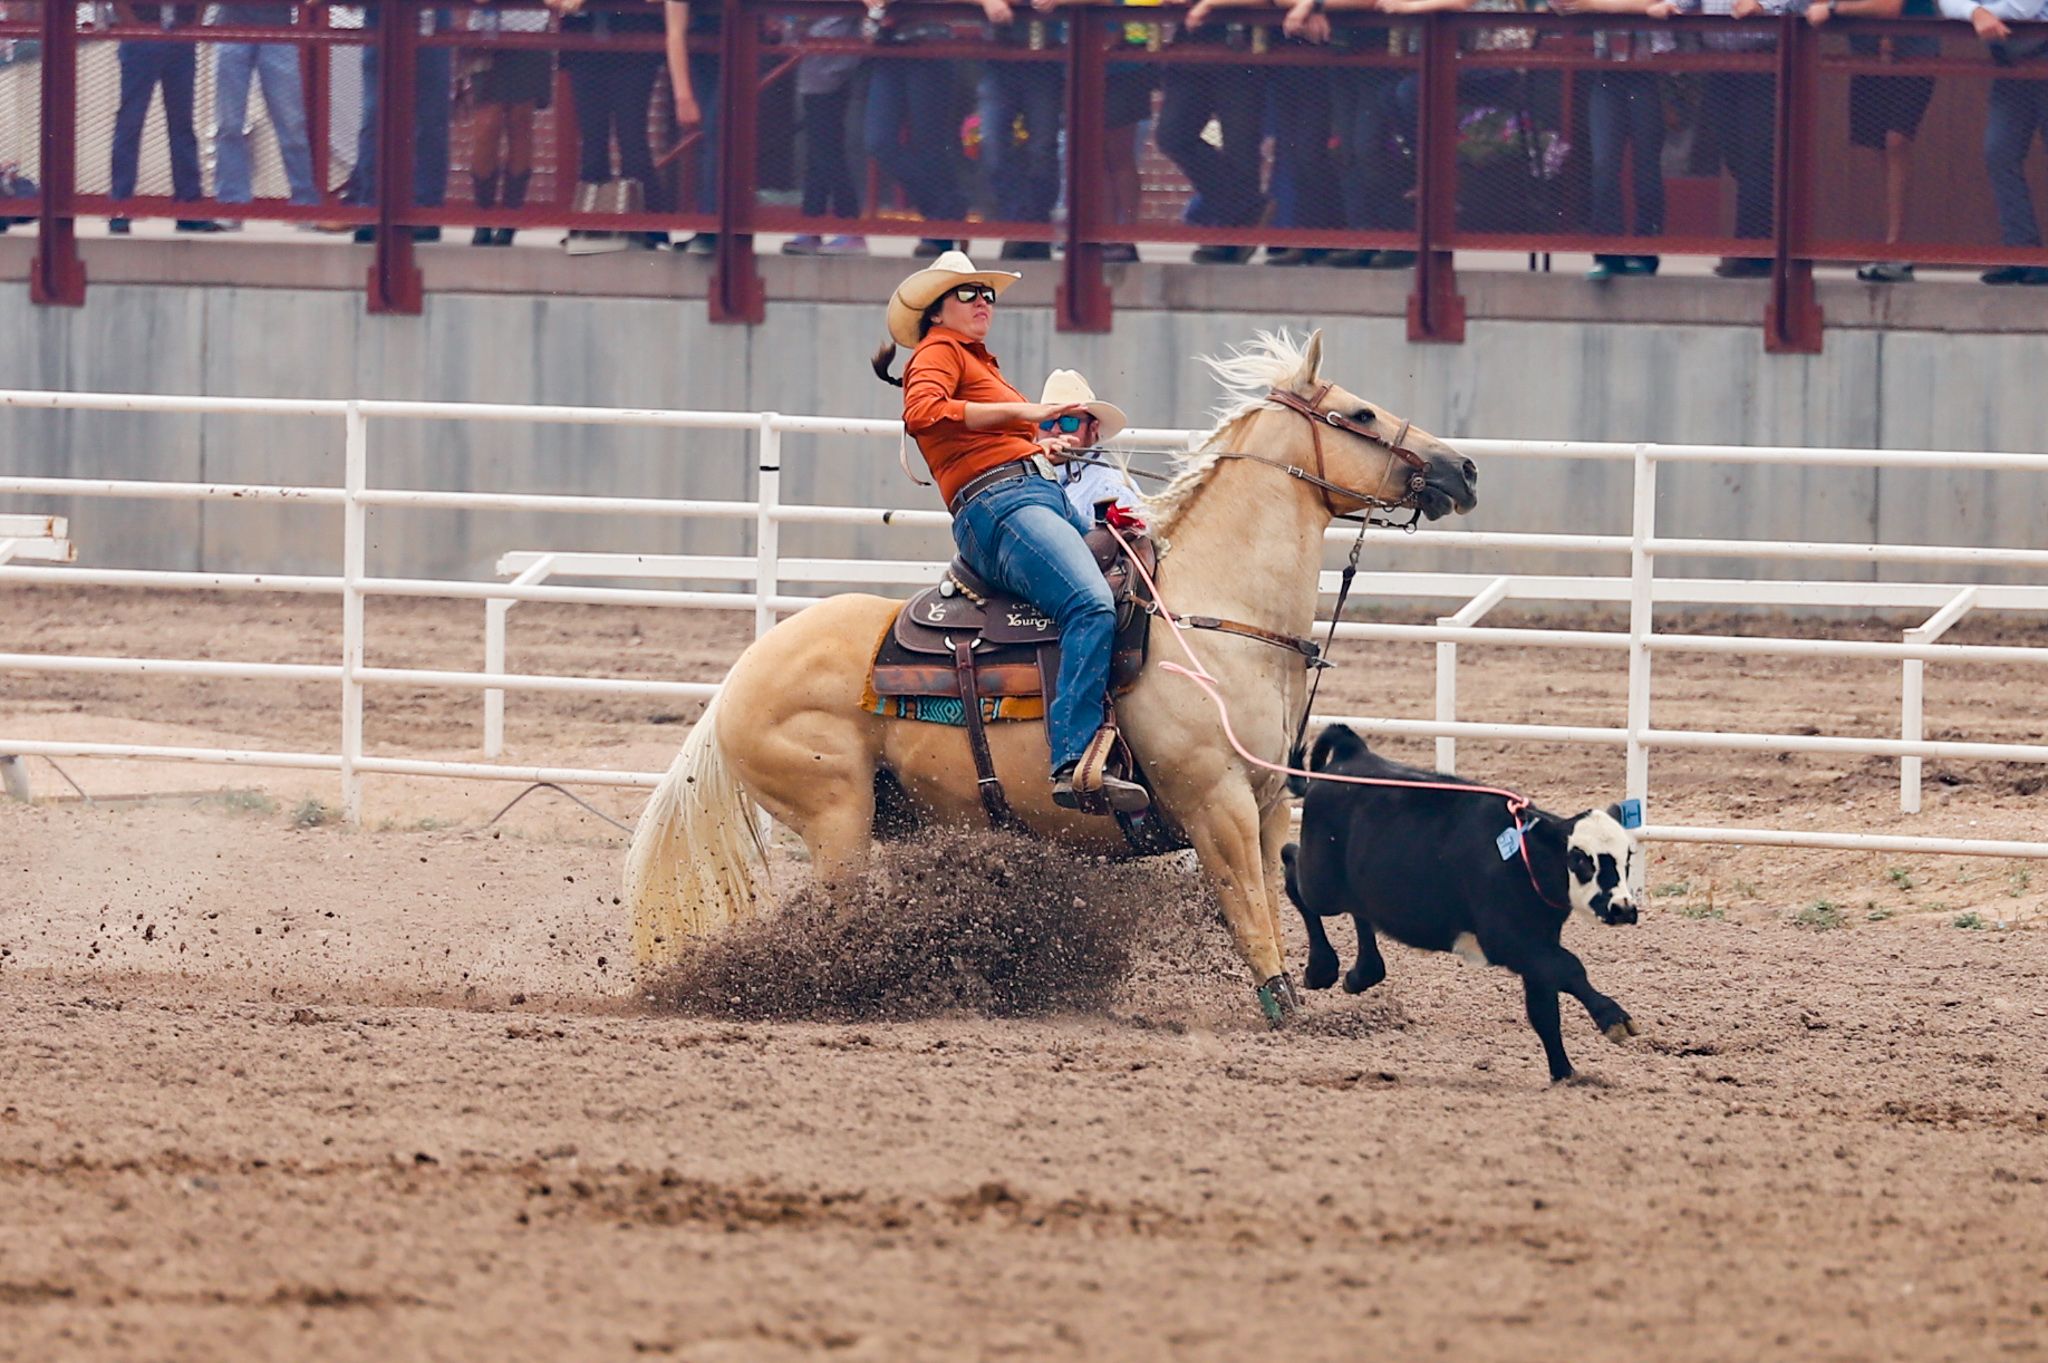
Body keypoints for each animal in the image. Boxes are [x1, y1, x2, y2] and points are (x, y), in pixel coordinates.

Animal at [622, 329, 1474, 1015]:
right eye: (1360, 415)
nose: (1461, 467)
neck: (1215, 616)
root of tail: (737, 680)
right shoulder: (1216, 802)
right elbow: (1248, 910)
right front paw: (1281, 1008)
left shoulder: (1265, 801)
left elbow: (1283, 893)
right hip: (837, 817)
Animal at [1286, 720, 1638, 1080]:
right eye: (1581, 859)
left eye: (1628, 858)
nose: (1623, 908)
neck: (1522, 859)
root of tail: (1352, 754)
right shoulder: (1507, 941)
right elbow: (1569, 968)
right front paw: (1614, 1019)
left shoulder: (1538, 942)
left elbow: (1544, 1010)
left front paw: (1565, 1073)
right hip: (1320, 883)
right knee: (1291, 866)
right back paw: (1321, 968)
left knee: (1359, 910)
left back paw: (1360, 973)